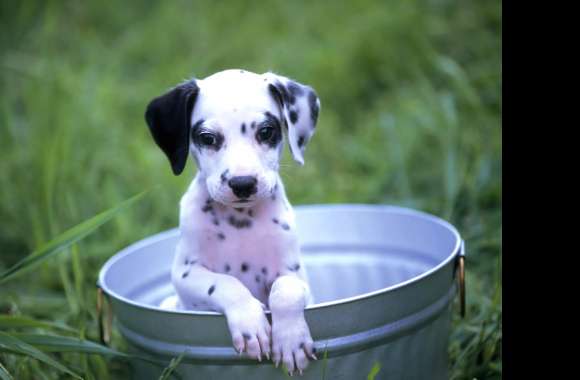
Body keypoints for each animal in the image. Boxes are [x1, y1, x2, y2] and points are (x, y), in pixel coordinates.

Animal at [144, 69, 322, 374]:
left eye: (266, 132)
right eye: (207, 138)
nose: (243, 184)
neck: (240, 222)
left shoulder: (296, 276)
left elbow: (285, 290)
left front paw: (290, 340)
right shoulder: (185, 274)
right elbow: (224, 282)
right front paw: (251, 323)